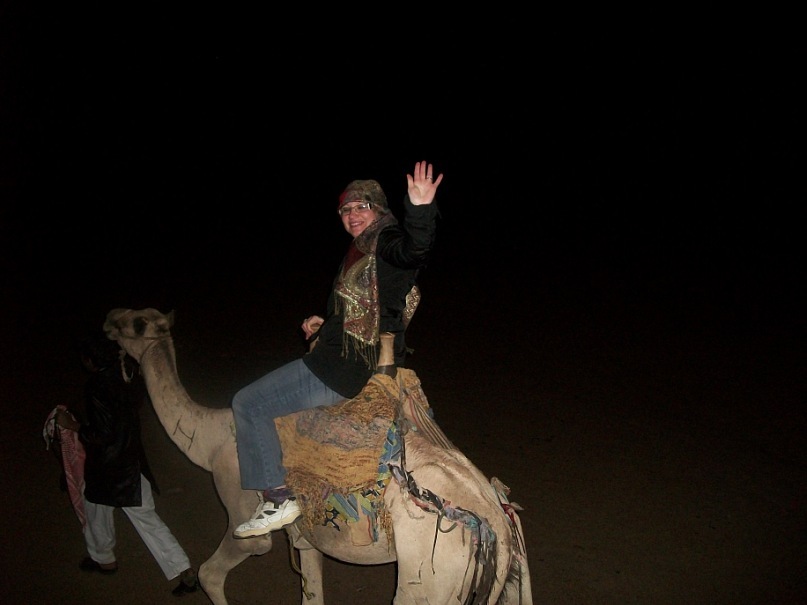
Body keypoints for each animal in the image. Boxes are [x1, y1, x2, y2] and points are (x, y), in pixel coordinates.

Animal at [103, 307, 533, 605]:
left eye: (131, 324)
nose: (107, 320)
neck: (211, 438)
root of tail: (496, 523)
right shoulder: (308, 539)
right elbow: (311, 592)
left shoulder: (237, 497)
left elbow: (215, 570)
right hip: (504, 579)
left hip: (430, 575)